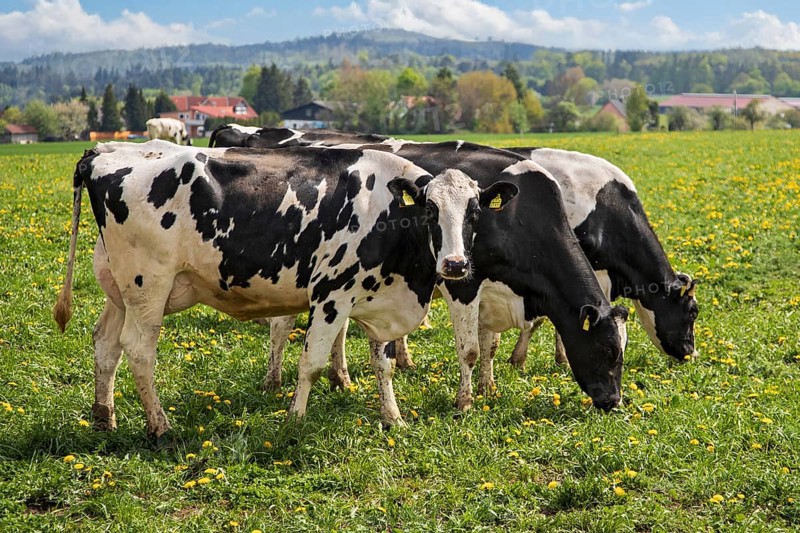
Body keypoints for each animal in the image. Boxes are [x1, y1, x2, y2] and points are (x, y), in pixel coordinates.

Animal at [52, 139, 520, 437]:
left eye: (475, 212)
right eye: (429, 210)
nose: (455, 265)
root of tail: (105, 152)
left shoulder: (378, 300)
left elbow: (382, 364)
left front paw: (393, 418)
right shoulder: (331, 295)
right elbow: (310, 363)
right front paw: (294, 420)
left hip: (119, 288)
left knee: (105, 344)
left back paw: (104, 417)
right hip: (148, 284)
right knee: (138, 350)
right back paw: (160, 426)